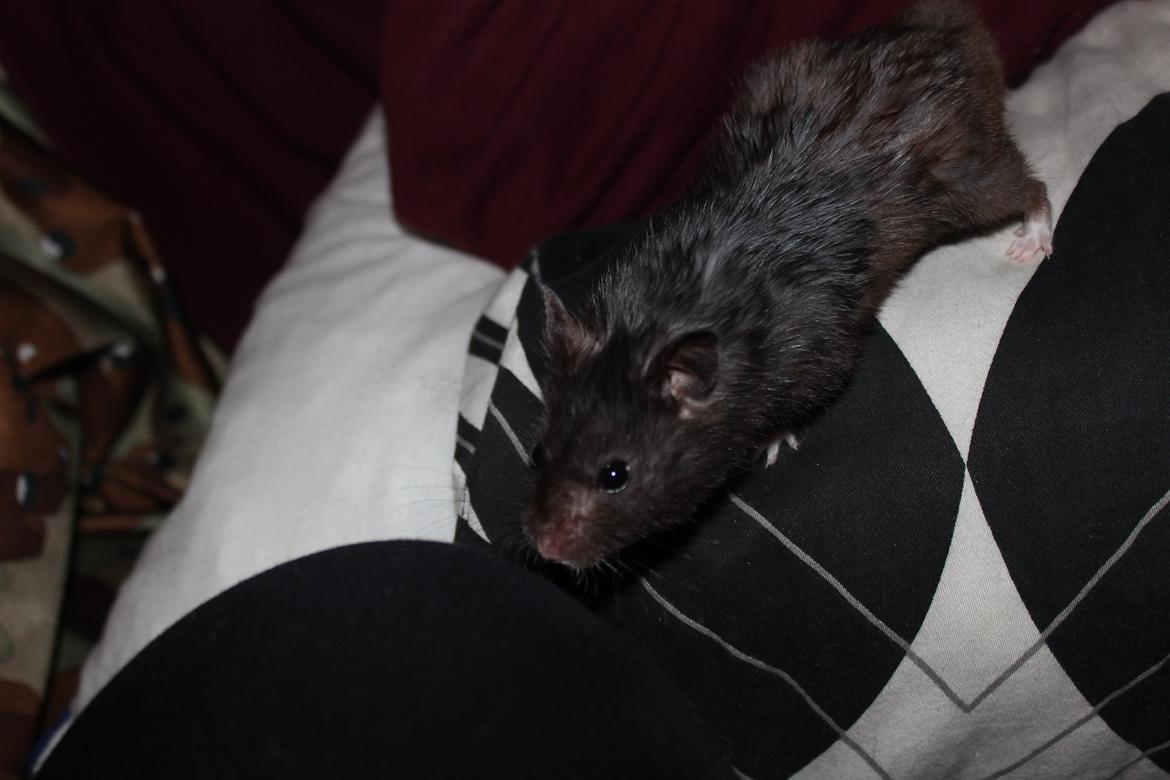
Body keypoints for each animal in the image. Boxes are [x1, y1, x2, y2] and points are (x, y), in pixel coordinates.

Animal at [524, 0, 1052, 568]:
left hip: (960, 169)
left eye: (615, 475)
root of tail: (944, 30)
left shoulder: (814, 348)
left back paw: (1034, 233)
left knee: (1024, 185)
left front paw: (774, 439)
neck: (659, 316)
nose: (547, 548)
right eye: (537, 452)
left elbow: (820, 387)